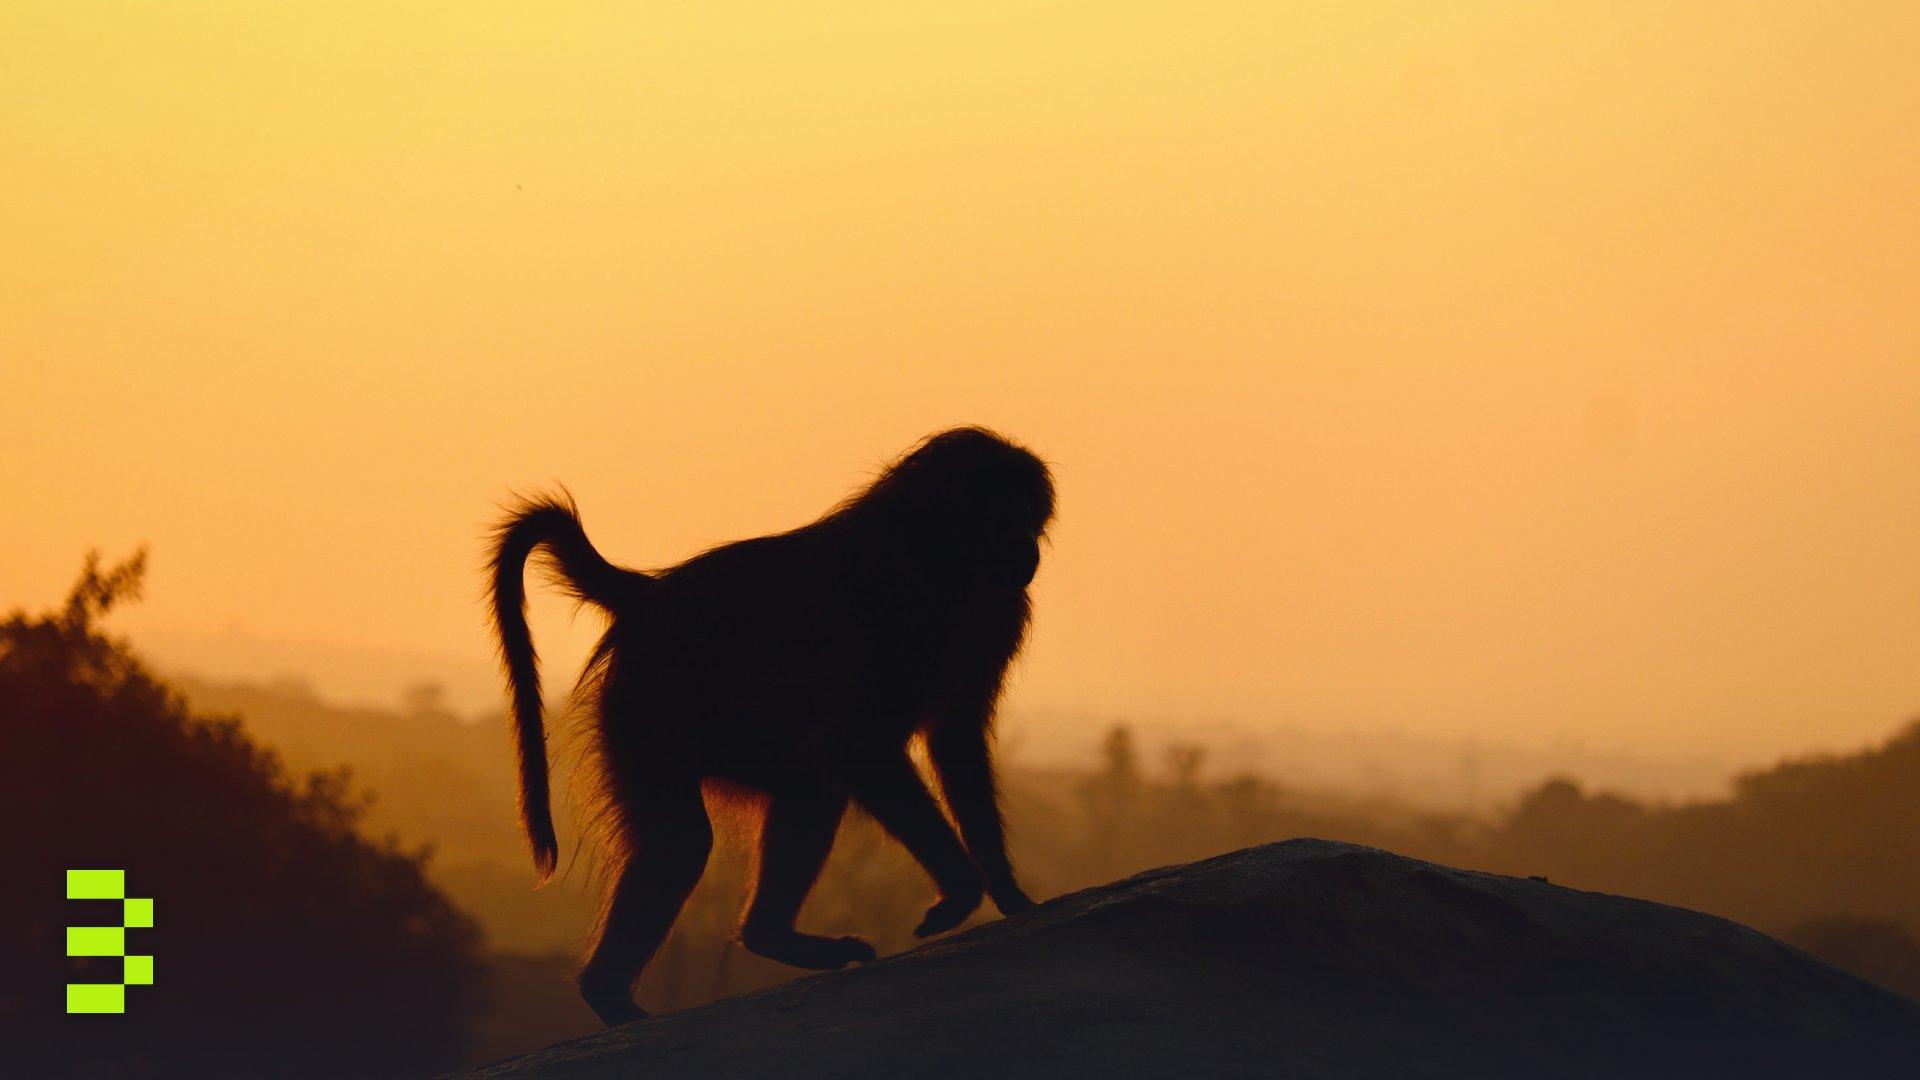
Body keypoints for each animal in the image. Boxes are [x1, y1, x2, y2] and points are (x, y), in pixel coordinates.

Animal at [489, 426, 1053, 1026]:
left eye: (1026, 505)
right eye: (1002, 506)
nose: (1028, 545)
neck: (941, 562)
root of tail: (652, 592)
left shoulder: (994, 617)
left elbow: (955, 743)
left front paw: (1009, 895)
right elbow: (863, 747)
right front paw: (960, 892)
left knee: (785, 795)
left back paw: (740, 947)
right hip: (653, 704)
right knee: (712, 827)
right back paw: (633, 991)